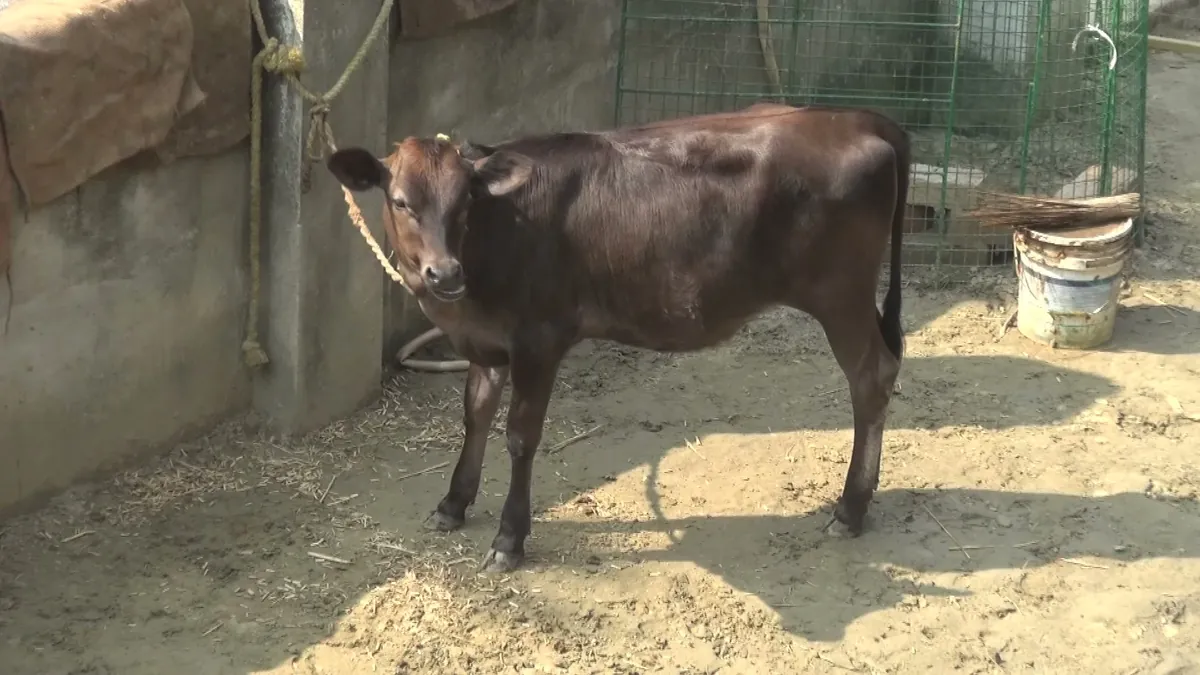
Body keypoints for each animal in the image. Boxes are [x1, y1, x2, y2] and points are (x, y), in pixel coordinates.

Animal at [326, 102, 909, 573]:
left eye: (465, 201)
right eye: (400, 201)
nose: (444, 273)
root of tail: (854, 117)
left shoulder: (539, 338)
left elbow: (520, 436)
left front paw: (509, 539)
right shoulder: (486, 341)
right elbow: (475, 415)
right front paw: (453, 503)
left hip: (841, 295)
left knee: (871, 377)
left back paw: (851, 507)